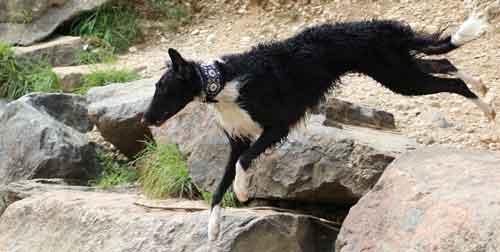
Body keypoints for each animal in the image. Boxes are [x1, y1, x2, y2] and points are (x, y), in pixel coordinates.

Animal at [141, 15, 492, 240]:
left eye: (163, 88)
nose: (145, 120)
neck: (223, 82)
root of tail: (380, 26)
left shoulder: (277, 127)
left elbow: (242, 165)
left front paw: (242, 191)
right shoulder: (238, 140)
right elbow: (217, 189)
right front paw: (213, 229)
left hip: (401, 77)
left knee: (452, 80)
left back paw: (486, 106)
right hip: (400, 70)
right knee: (446, 63)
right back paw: (482, 87)